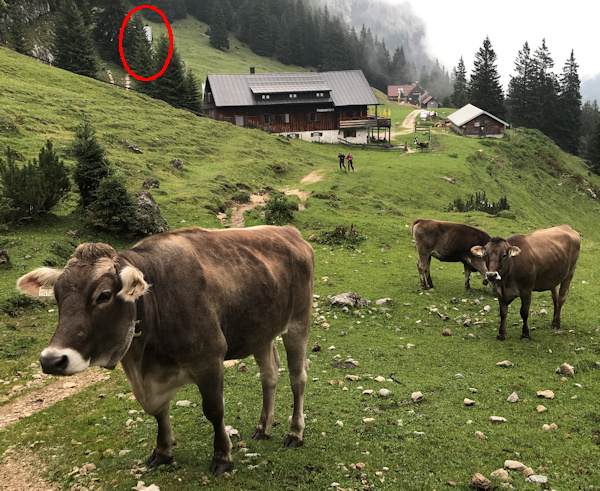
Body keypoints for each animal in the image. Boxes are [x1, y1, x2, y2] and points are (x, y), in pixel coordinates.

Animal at [15, 226, 314, 476]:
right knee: (269, 375)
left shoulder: (209, 359)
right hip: (261, 332)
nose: (52, 360)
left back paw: (295, 433)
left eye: (104, 296)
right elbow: (160, 413)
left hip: (298, 322)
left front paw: (222, 457)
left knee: (297, 378)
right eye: (57, 296)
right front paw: (162, 452)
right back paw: (263, 427)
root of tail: (289, 231)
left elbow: (214, 410)